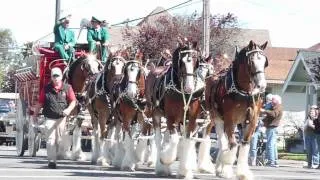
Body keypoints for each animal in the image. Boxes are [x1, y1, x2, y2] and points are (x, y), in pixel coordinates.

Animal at [144, 40, 206, 178]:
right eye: (181, 61)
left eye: (195, 59)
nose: (189, 87)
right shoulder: (171, 118)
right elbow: (174, 140)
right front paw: (166, 158)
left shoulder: (191, 119)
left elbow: (186, 141)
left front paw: (184, 171)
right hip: (156, 114)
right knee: (158, 138)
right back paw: (160, 167)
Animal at [205, 40, 268, 179]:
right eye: (251, 61)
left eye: (265, 62)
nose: (262, 85)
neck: (245, 91)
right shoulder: (230, 120)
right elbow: (233, 145)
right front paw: (226, 169)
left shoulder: (252, 121)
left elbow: (244, 144)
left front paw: (243, 173)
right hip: (216, 118)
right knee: (222, 142)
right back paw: (220, 165)